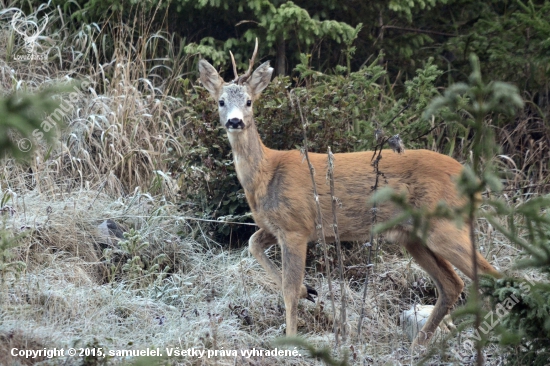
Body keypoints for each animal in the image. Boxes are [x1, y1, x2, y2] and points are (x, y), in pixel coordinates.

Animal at [198, 40, 500, 348]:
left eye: (249, 101)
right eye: (221, 101)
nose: (235, 122)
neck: (266, 174)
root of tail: (470, 179)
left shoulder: (295, 227)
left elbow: (288, 290)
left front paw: (291, 340)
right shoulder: (276, 226)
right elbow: (253, 243)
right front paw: (309, 290)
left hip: (445, 225)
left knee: (491, 275)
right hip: (414, 237)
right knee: (452, 284)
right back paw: (418, 346)